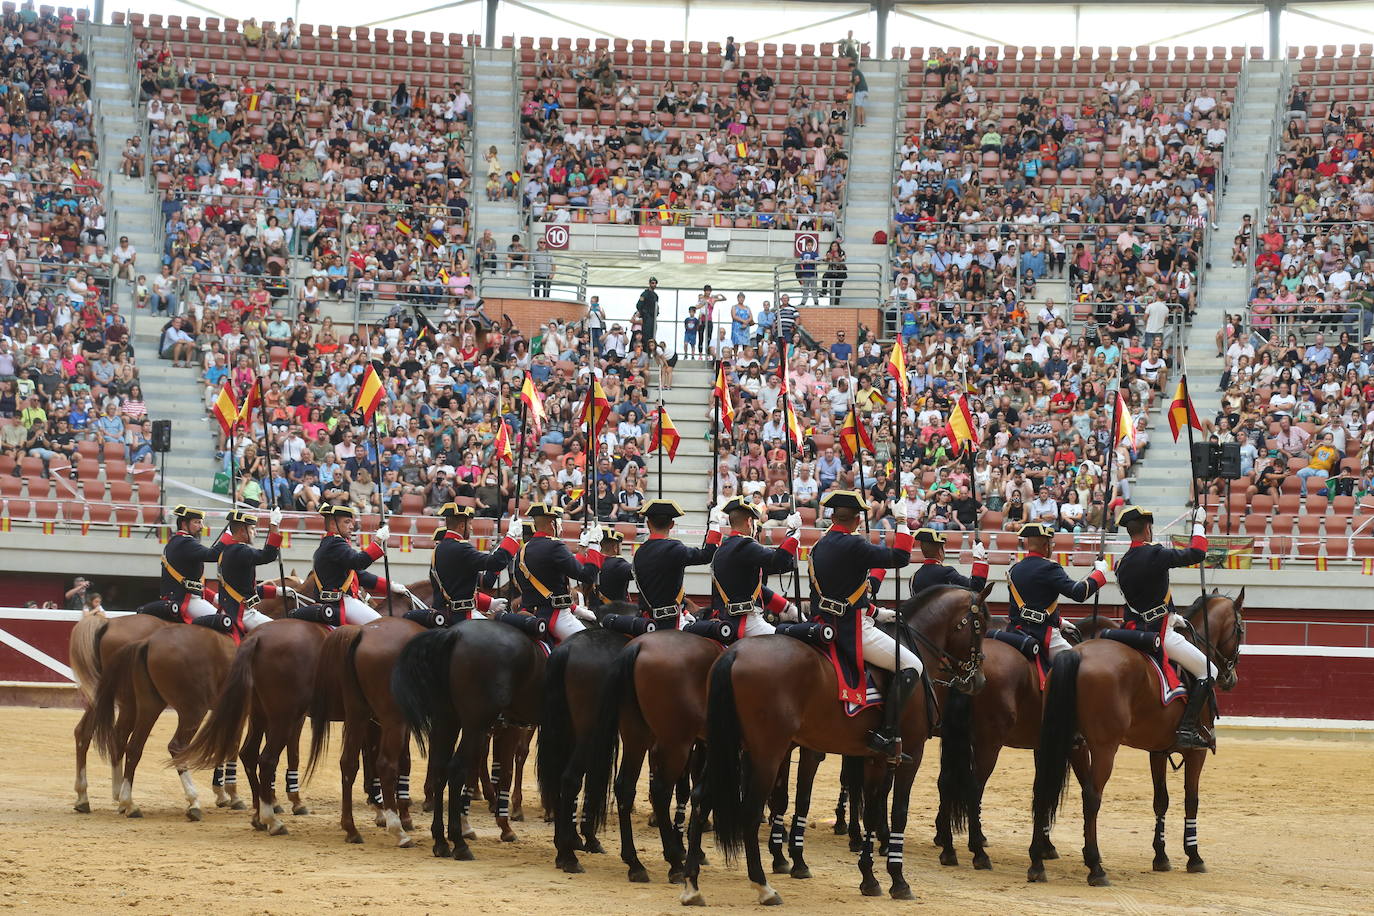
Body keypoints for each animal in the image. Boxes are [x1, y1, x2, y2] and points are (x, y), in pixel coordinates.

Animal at [89, 626, 237, 818]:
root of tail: (148, 642)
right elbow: (233, 746)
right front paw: (233, 796)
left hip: (148, 705)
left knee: (131, 746)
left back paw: (127, 802)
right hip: (193, 710)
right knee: (176, 746)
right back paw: (193, 801)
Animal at [390, 615, 544, 862]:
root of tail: (455, 634)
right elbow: (507, 772)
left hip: (449, 720)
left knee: (440, 768)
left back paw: (441, 841)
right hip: (475, 725)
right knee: (456, 769)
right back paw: (459, 843)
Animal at [687, 585, 989, 906]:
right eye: (979, 626)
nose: (979, 681)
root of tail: (734, 653)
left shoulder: (874, 757)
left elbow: (870, 810)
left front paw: (869, 877)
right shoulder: (911, 753)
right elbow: (898, 812)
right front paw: (898, 880)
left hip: (729, 747)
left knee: (701, 796)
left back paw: (692, 882)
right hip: (766, 753)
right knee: (750, 810)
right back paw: (763, 886)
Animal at [939, 612, 1121, 873]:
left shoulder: (1042, 747)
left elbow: (1040, 788)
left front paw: (1044, 845)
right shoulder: (1079, 747)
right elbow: (1078, 787)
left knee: (947, 781)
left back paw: (948, 848)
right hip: (989, 744)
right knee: (974, 788)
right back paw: (979, 853)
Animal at [1033, 590, 1247, 884]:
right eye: (1240, 629)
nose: (1231, 678)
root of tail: (1078, 654)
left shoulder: (1158, 751)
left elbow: (1161, 800)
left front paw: (1161, 856)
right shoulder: (1197, 752)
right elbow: (1191, 800)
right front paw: (1194, 856)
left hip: (1063, 741)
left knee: (1044, 786)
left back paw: (1037, 862)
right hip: (1103, 748)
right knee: (1091, 796)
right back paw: (1095, 866)